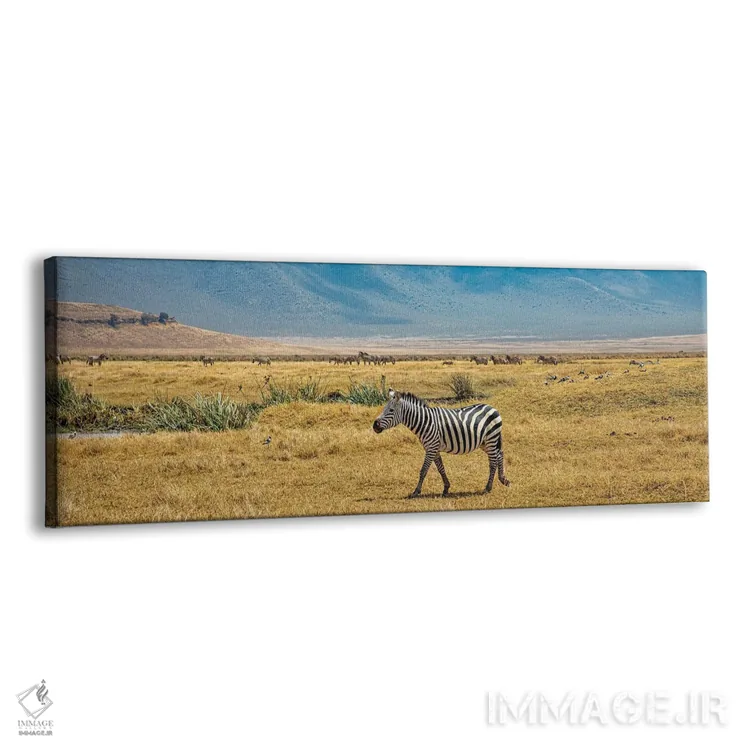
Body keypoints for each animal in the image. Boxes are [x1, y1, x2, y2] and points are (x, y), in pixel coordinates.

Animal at [372, 390, 510, 497]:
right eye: (384, 408)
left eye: (391, 410)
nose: (375, 425)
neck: (424, 422)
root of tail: (492, 407)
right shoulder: (434, 448)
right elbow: (441, 468)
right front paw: (446, 488)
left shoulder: (431, 448)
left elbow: (423, 470)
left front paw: (416, 491)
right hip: (485, 442)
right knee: (500, 454)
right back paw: (503, 480)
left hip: (491, 438)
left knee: (493, 461)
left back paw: (488, 487)